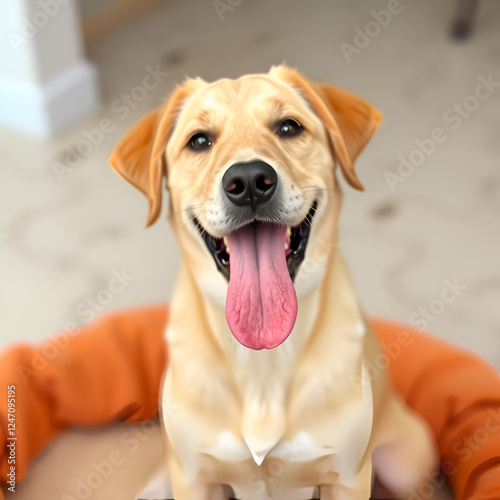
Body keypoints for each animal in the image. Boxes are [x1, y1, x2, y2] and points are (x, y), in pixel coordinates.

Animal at [110, 66, 438, 500]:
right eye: (199, 141)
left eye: (288, 127)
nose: (249, 180)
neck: (262, 360)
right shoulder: (193, 476)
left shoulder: (348, 477)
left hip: (402, 465)